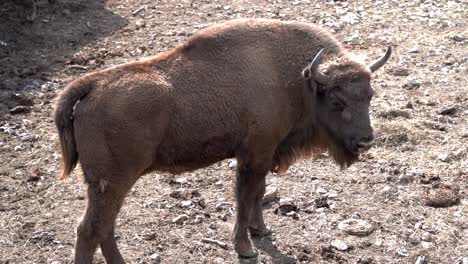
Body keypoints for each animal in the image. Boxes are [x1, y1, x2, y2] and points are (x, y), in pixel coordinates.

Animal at [54, 18, 392, 262]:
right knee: (91, 230)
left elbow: (258, 193)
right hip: (113, 182)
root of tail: (92, 85)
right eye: (336, 101)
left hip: (107, 186)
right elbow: (245, 197)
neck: (299, 80)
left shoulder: (264, 154)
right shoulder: (254, 155)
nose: (366, 141)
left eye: (370, 96)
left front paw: (261, 230)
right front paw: (246, 247)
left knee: (104, 228)